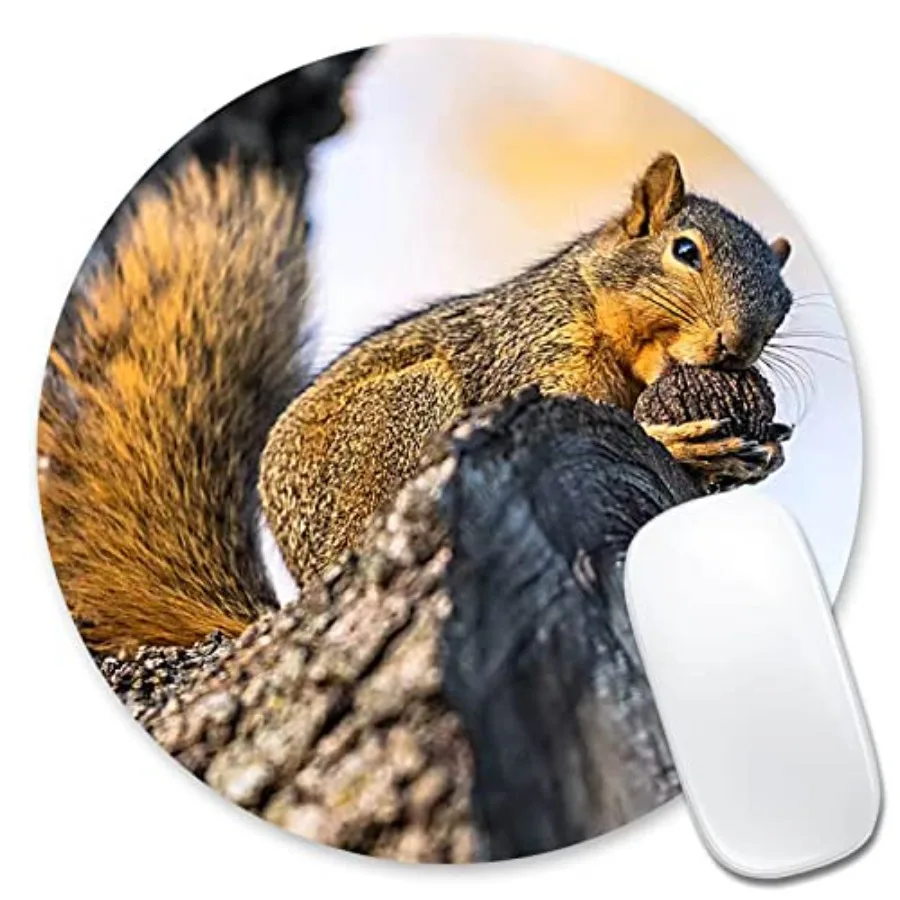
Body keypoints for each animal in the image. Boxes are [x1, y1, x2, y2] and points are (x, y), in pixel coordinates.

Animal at [39, 152, 794, 653]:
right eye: (685, 250)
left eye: (784, 304)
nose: (736, 344)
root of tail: (307, 581)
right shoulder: (534, 353)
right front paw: (679, 440)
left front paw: (762, 453)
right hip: (409, 410)